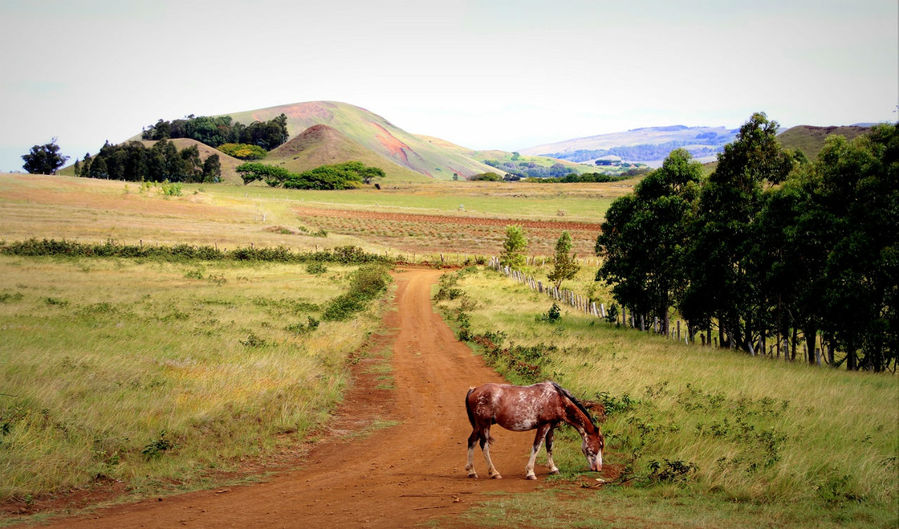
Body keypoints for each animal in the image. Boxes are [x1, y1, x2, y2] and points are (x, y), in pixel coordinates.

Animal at [464, 380, 604, 478]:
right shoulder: (544, 425)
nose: (598, 468)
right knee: (484, 445)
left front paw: (553, 469)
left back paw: (471, 471)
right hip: (484, 424)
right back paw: (494, 472)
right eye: (599, 445)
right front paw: (530, 472)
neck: (557, 399)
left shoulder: (551, 427)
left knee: (472, 441)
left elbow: (549, 447)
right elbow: (537, 446)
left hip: (479, 425)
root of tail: (474, 390)